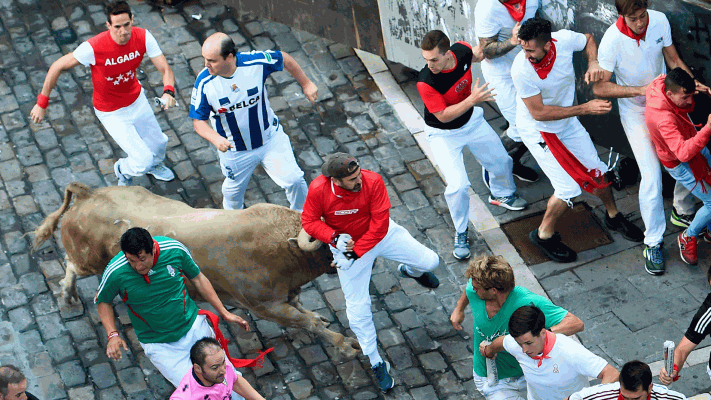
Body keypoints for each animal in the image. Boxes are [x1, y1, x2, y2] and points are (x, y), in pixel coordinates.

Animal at [32, 183, 362, 358]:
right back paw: (68, 296)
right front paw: (346, 345)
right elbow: (309, 323)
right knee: (72, 267)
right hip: (89, 261)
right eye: (333, 240)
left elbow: (307, 313)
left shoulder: (287, 296)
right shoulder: (266, 306)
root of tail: (89, 194)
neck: (279, 247)